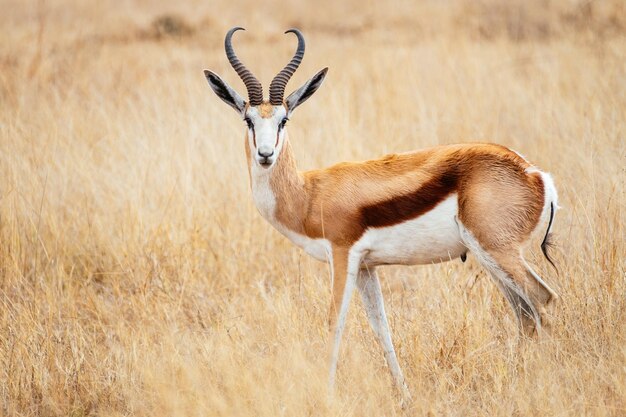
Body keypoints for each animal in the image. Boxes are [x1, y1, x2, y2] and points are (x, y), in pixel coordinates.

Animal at [202, 27, 560, 402]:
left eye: (284, 119)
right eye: (248, 119)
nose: (265, 154)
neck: (310, 193)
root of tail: (535, 174)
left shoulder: (343, 255)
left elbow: (335, 322)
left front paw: (326, 395)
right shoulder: (367, 267)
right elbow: (381, 327)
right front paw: (404, 395)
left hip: (498, 251)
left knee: (543, 300)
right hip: (489, 257)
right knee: (524, 313)